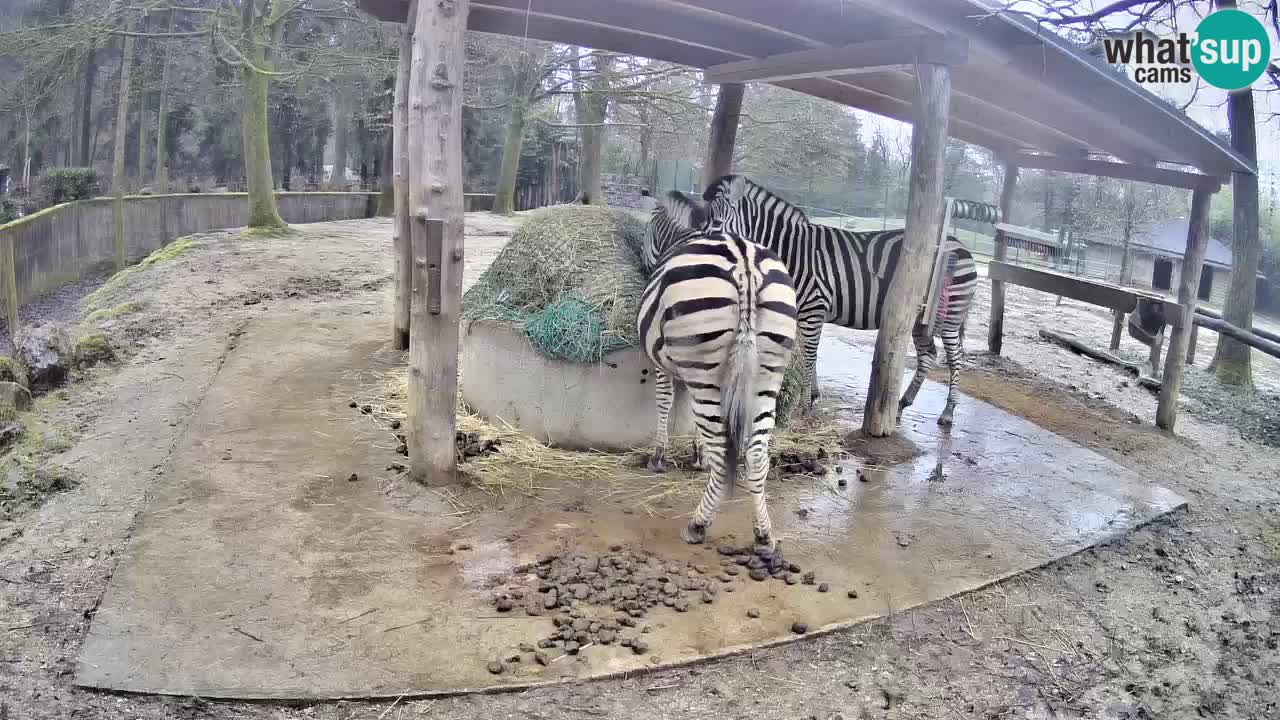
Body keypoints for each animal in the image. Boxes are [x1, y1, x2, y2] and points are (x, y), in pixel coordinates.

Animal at [637, 225, 798, 549]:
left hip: (706, 363)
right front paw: (699, 455)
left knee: (725, 452)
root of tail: (745, 264)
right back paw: (763, 533)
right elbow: (692, 419)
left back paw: (697, 525)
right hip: (766, 376)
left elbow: (665, 401)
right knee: (757, 455)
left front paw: (659, 457)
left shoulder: (665, 366)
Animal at [698, 174, 979, 427]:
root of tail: (961, 245)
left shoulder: (814, 308)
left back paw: (948, 412)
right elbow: (808, 354)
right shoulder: (806, 312)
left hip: (951, 315)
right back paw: (901, 404)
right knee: (929, 355)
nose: (701, 255)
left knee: (956, 357)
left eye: (717, 223)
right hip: (920, 319)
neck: (792, 251)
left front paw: (802, 406)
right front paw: (812, 397)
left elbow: (810, 355)